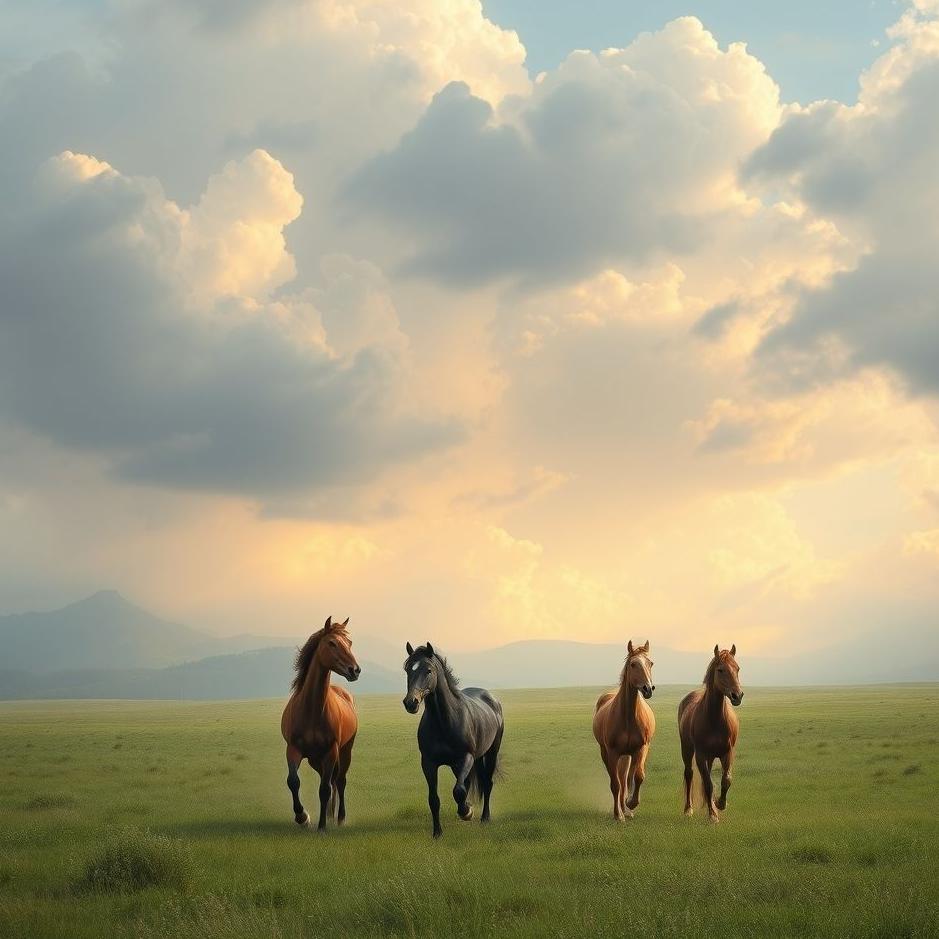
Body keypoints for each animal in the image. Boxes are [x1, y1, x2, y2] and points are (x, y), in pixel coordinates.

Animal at [280, 616, 361, 832]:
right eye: (332, 643)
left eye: (349, 643)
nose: (355, 670)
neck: (312, 711)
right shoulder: (293, 749)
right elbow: (293, 781)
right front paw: (302, 817)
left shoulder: (331, 751)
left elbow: (324, 789)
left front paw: (322, 826)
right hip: (315, 760)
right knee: (331, 780)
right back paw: (331, 816)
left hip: (344, 751)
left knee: (339, 781)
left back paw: (339, 818)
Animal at [402, 642, 504, 838]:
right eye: (408, 669)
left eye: (428, 670)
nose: (411, 702)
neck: (444, 721)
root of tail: (492, 699)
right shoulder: (428, 763)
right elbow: (434, 799)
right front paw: (437, 832)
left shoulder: (466, 757)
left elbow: (458, 790)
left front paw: (467, 811)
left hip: (491, 753)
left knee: (487, 783)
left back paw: (484, 817)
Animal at [592, 639, 656, 820]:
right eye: (633, 664)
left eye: (650, 663)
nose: (648, 689)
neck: (628, 718)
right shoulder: (612, 753)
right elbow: (615, 784)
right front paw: (618, 814)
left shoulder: (641, 749)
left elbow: (638, 777)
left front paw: (631, 804)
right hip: (608, 753)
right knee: (620, 781)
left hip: (629, 755)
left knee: (627, 779)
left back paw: (626, 807)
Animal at [678, 644, 744, 823]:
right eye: (720, 670)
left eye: (737, 668)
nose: (737, 695)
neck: (715, 720)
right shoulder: (700, 754)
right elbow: (708, 784)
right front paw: (713, 815)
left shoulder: (727, 753)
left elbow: (726, 780)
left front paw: (720, 803)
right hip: (687, 749)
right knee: (689, 774)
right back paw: (688, 809)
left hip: (711, 756)